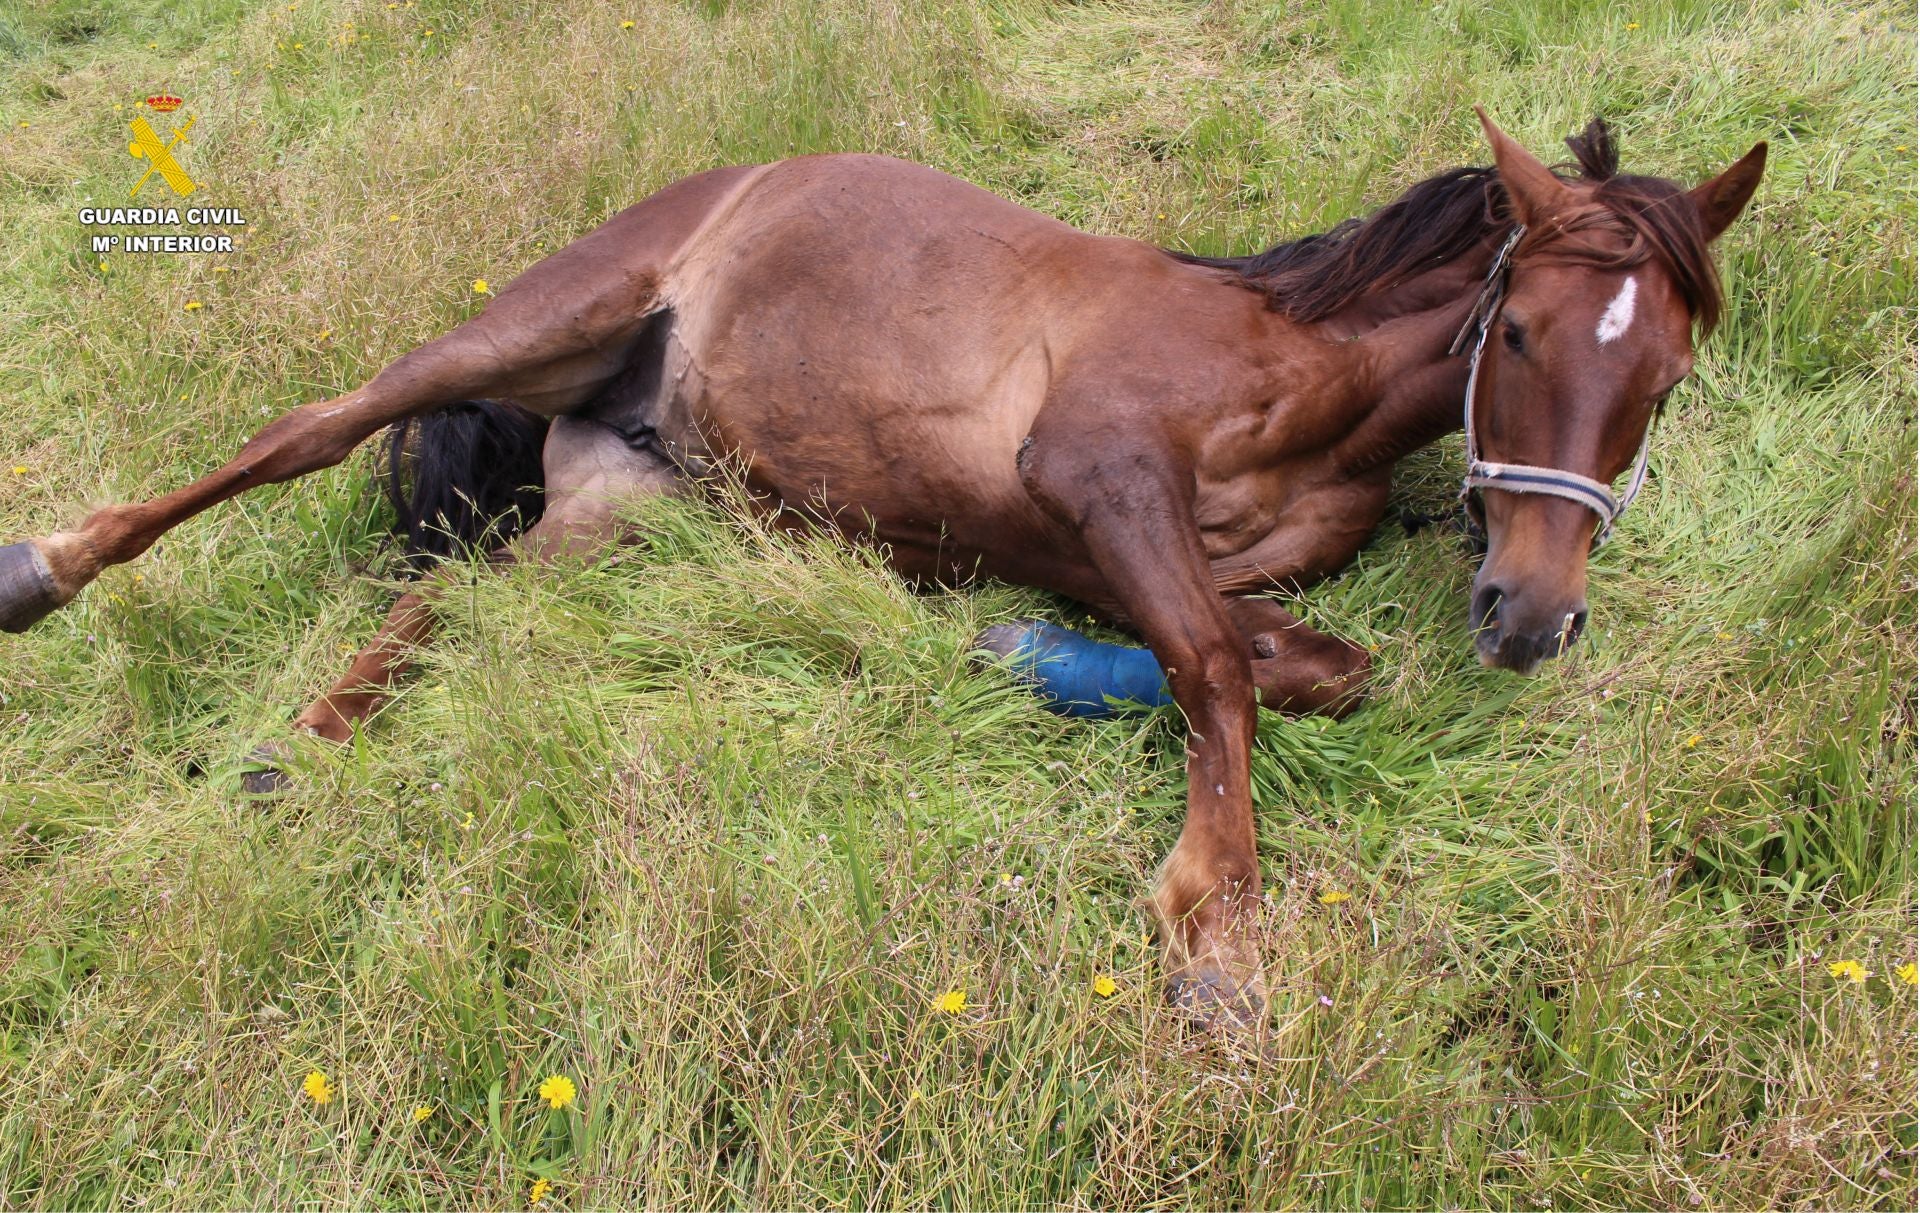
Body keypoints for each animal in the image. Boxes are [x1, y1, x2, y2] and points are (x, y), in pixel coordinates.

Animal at [0, 108, 1758, 1028]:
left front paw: (1020, 657)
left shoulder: (1123, 549)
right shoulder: (1098, 474)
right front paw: (1217, 931)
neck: (1296, 364)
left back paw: (294, 755)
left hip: (621, 506)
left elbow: (1295, 662)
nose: (1530, 617)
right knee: (307, 433)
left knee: (456, 598)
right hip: (532, 326)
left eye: (1668, 374)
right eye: (1518, 334)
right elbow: (1212, 665)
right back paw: (51, 567)